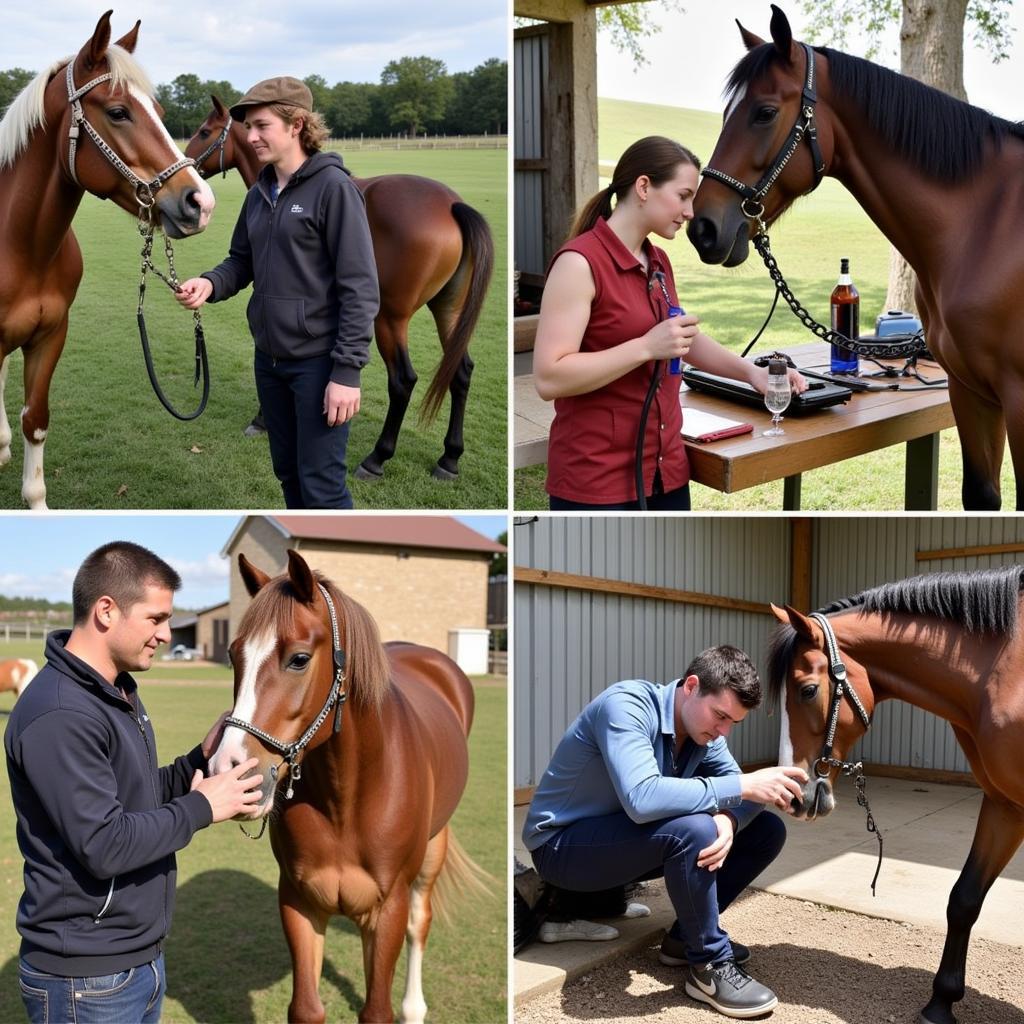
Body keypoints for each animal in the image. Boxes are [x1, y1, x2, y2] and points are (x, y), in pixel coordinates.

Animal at [0, 8, 214, 503]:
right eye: (118, 112)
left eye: (160, 113)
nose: (201, 201)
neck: (22, 248)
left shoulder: (51, 335)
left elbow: (35, 420)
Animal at [189, 96, 499, 479]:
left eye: (204, 132)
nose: (184, 167)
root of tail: (453, 205)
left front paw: (263, 419)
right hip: (449, 310)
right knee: (461, 371)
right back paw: (450, 457)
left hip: (389, 319)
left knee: (403, 380)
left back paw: (377, 457)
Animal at [208, 552, 483, 1024]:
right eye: (233, 655)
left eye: (299, 659)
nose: (229, 770)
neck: (347, 799)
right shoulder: (299, 902)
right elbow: (305, 1008)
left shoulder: (386, 912)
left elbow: (377, 1009)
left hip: (435, 845)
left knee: (420, 923)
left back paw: (415, 1006)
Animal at [770, 569, 1024, 1024]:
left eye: (807, 690)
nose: (794, 798)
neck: (1005, 673)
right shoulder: (1005, 805)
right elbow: (964, 899)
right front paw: (940, 1003)